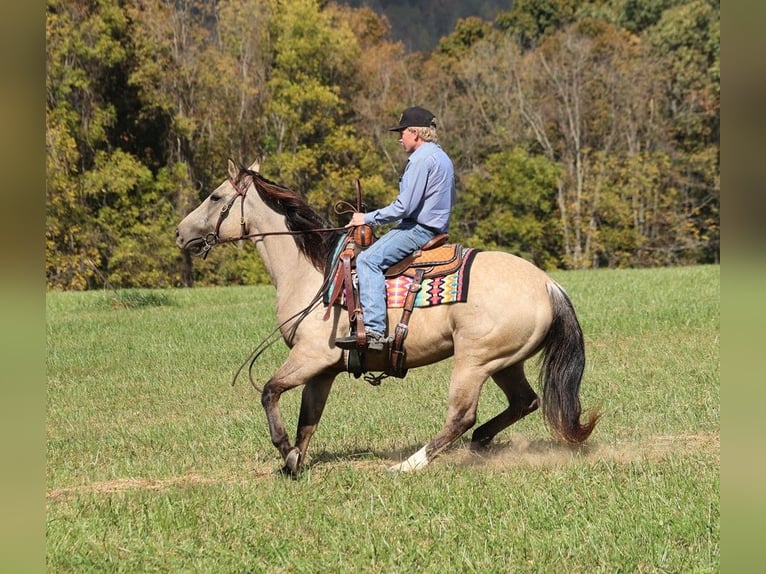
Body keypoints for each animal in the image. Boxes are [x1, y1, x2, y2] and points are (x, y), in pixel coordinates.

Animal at [175, 159, 599, 475]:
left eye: (215, 196)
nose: (180, 233)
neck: (314, 273)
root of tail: (547, 284)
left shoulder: (310, 356)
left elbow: (269, 391)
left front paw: (284, 450)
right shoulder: (324, 370)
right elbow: (308, 419)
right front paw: (294, 461)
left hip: (474, 361)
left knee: (461, 416)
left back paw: (409, 465)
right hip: (505, 362)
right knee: (524, 402)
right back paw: (480, 442)